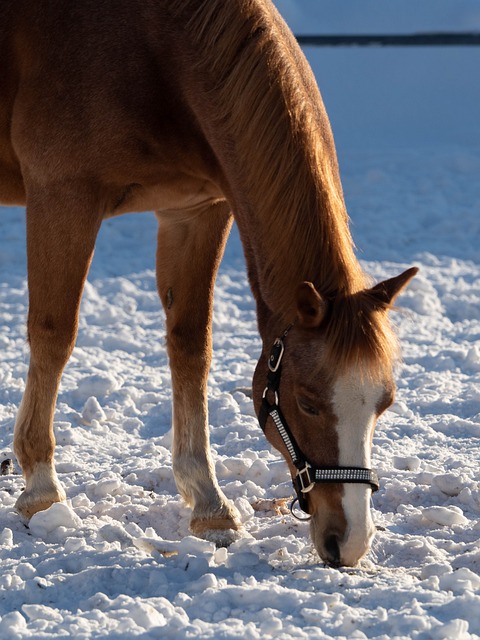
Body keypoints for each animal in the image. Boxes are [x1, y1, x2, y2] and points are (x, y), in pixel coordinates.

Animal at [0, 1, 416, 568]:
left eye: (385, 402)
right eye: (307, 401)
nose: (350, 542)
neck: (157, 51)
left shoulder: (196, 211)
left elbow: (190, 347)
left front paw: (208, 501)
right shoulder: (62, 196)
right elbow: (54, 333)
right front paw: (42, 490)